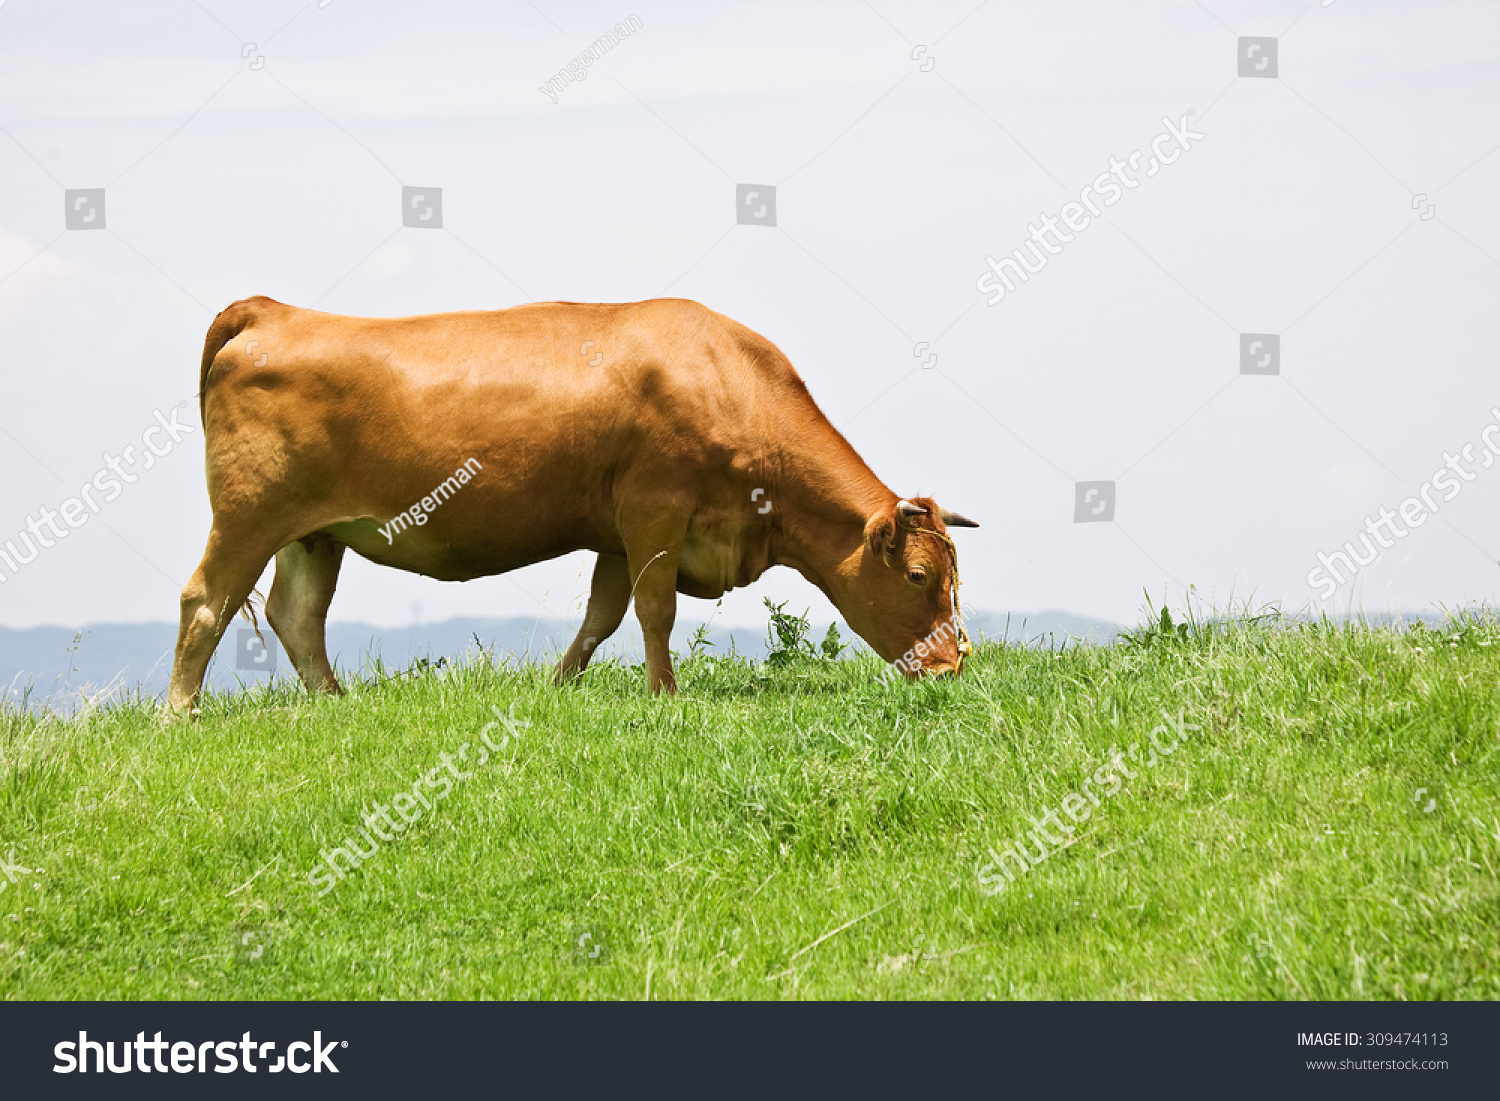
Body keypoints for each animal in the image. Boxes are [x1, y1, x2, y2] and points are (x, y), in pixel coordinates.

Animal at [167, 297, 984, 717]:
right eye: (918, 577)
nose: (951, 666)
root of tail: (273, 311)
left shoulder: (617, 535)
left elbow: (602, 615)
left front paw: (558, 686)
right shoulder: (655, 509)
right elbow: (656, 610)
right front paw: (665, 697)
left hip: (316, 532)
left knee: (296, 614)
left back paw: (337, 704)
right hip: (249, 514)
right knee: (207, 601)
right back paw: (181, 712)